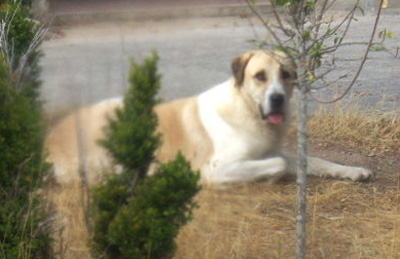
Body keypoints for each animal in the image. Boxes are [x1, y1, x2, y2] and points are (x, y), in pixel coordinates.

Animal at [44, 49, 372, 186]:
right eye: (260, 76)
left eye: (287, 75)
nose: (278, 99)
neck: (246, 110)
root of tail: (49, 140)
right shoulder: (217, 168)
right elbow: (278, 165)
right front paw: (270, 177)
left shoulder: (273, 151)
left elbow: (314, 160)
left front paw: (352, 171)